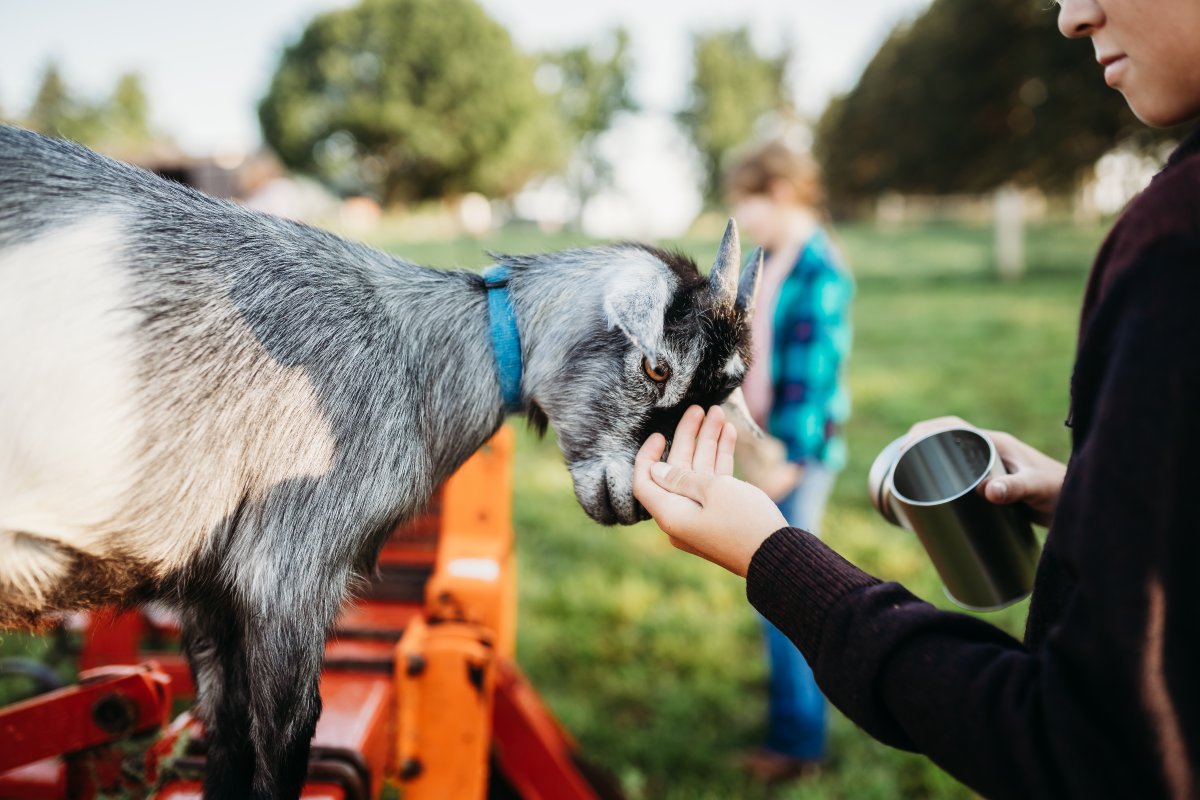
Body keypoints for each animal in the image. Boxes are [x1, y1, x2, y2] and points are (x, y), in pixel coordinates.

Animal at [0, 125, 758, 796]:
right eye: (657, 367)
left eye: (714, 396)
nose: (634, 502)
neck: (418, 355)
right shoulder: (289, 568)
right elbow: (282, 744)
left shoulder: (208, 589)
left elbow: (227, 742)